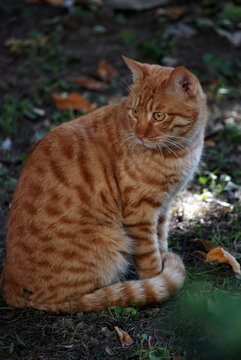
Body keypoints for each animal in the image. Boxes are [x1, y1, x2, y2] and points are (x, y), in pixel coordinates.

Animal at [0, 56, 207, 312]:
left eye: (159, 116)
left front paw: (164, 262)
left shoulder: (164, 207)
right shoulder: (140, 213)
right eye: (135, 112)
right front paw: (157, 280)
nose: (139, 135)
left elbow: (161, 242)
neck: (180, 150)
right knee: (77, 300)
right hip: (108, 243)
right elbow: (150, 257)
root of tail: (8, 284)